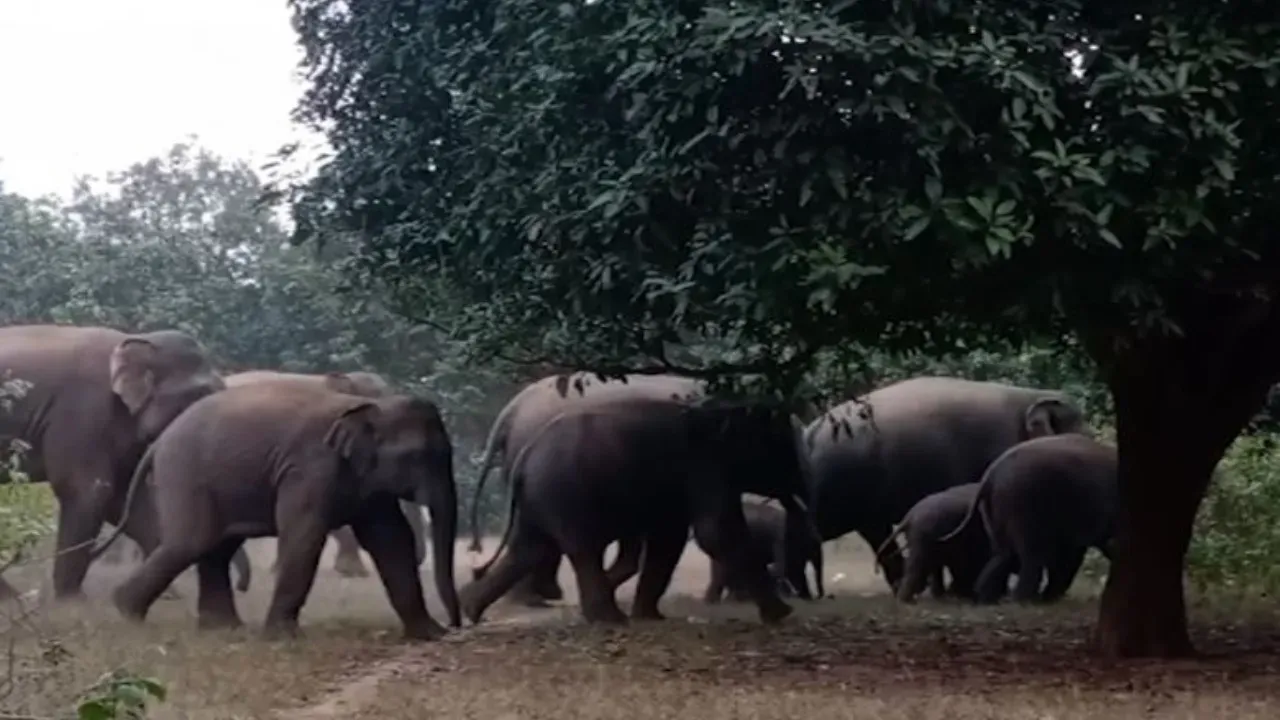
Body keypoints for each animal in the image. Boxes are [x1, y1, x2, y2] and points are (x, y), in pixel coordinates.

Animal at [0, 324, 225, 598]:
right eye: (203, 394)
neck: (137, 341)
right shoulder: (83, 412)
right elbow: (89, 492)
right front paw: (71, 602)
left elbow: (124, 499)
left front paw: (170, 598)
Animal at [460, 397, 815, 625]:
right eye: (783, 449)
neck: (721, 413)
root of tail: (525, 454)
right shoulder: (705, 469)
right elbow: (715, 532)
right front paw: (782, 615)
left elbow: (669, 539)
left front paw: (651, 617)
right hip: (563, 495)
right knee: (580, 548)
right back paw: (610, 620)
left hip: (540, 498)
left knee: (529, 548)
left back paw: (470, 610)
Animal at [940, 433, 1116, 604]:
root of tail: (990, 476)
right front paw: (1050, 597)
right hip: (1024, 501)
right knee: (1030, 556)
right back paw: (1024, 600)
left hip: (996, 508)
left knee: (1002, 553)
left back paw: (986, 599)